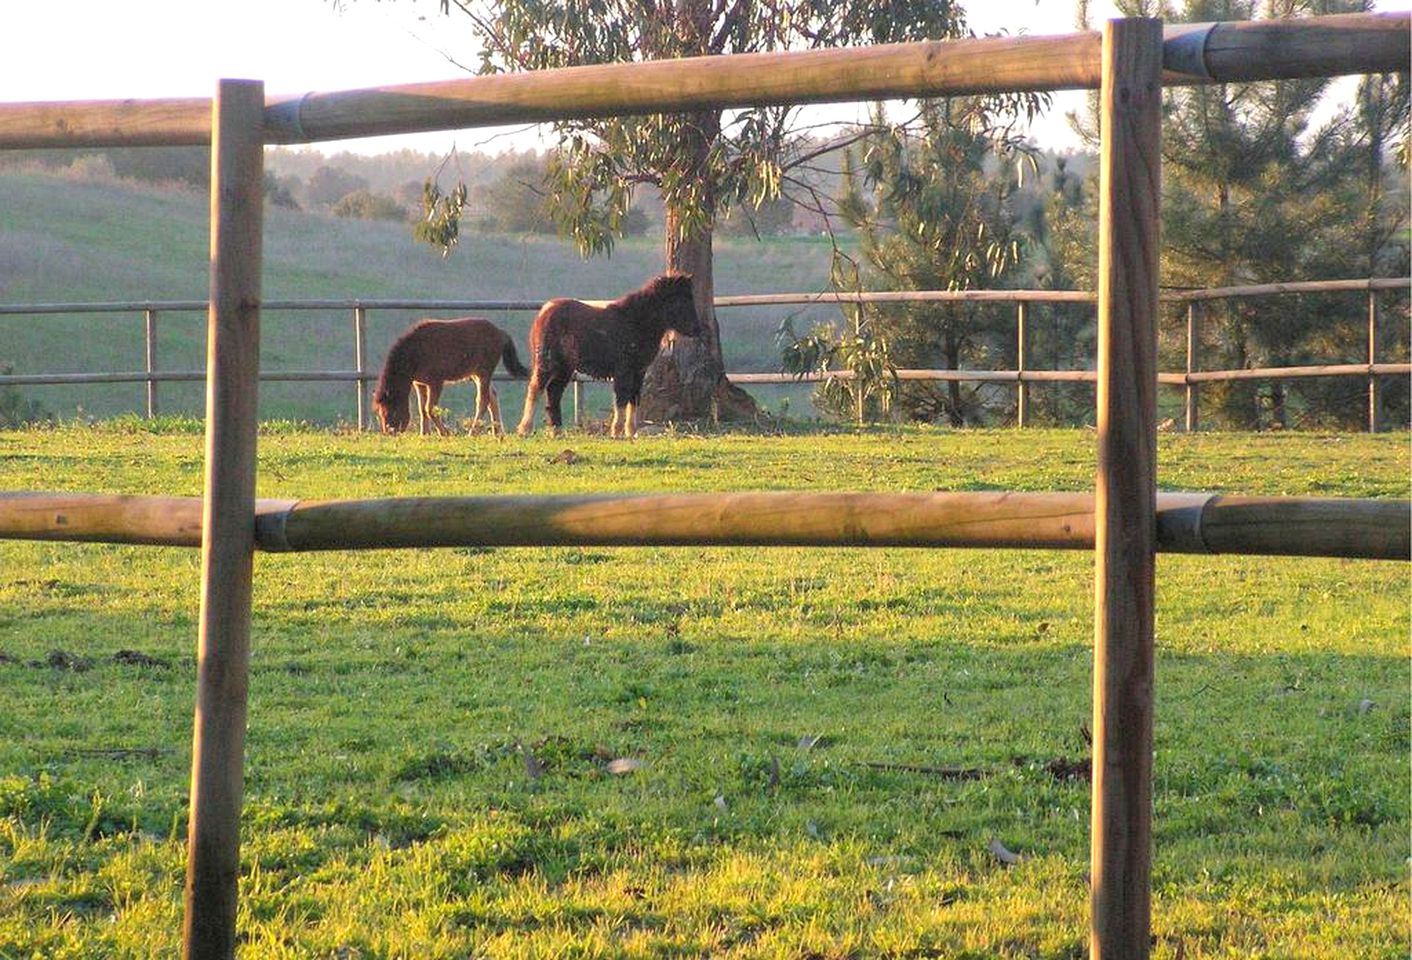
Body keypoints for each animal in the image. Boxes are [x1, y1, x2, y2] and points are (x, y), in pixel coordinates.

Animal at [375, 316, 530, 437]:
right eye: (380, 413)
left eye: (390, 412)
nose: (389, 433)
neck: (415, 351)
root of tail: (501, 333)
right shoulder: (419, 384)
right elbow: (422, 409)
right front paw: (424, 433)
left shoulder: (436, 383)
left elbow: (429, 409)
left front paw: (444, 433)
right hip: (476, 374)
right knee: (492, 397)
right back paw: (497, 432)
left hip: (484, 373)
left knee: (483, 400)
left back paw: (472, 432)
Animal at [513, 269, 700, 434]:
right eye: (681, 301)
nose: (697, 330)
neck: (636, 322)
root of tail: (544, 312)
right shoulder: (623, 370)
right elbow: (621, 398)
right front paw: (617, 432)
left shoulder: (639, 371)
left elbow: (634, 399)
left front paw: (631, 432)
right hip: (547, 362)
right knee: (536, 389)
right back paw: (525, 429)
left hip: (565, 368)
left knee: (553, 393)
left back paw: (556, 431)